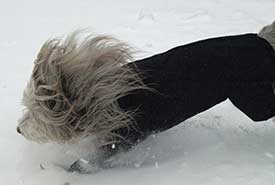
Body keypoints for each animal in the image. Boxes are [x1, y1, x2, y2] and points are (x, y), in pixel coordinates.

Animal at [16, 21, 275, 173]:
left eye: (36, 114)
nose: (18, 129)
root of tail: (261, 41)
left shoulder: (121, 140)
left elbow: (90, 160)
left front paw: (70, 168)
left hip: (254, 102)